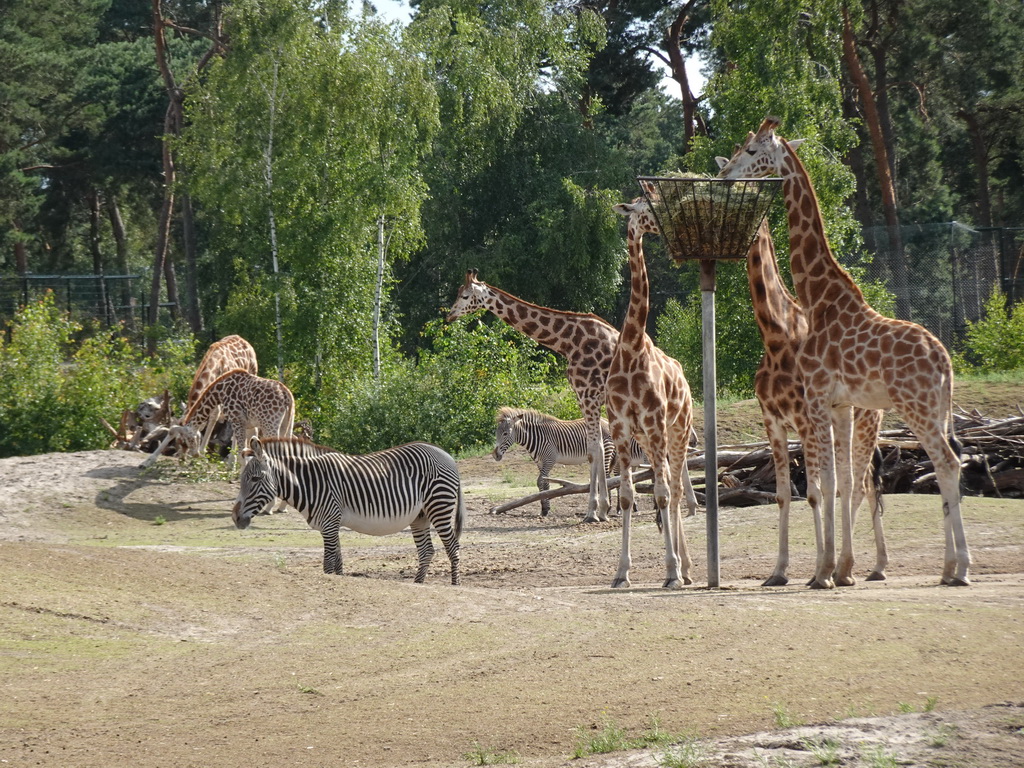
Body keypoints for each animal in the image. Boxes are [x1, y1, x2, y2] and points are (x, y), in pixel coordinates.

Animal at [231, 436, 464, 585]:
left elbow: (328, 565)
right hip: (420, 516)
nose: (235, 518)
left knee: (453, 547)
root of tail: (447, 455)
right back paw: (417, 584)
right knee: (426, 551)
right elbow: (338, 563)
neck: (311, 483)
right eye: (243, 479)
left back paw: (455, 585)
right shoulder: (332, 525)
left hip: (440, 506)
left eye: (255, 479)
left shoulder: (329, 523)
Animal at [491, 405, 643, 520]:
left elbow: (541, 481)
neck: (536, 437)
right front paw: (544, 508)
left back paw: (609, 507)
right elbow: (543, 483)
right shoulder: (540, 462)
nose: (495, 455)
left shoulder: (549, 459)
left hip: (606, 451)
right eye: (497, 433)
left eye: (505, 434)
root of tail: (606, 421)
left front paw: (545, 509)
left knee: (606, 477)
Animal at [716, 117, 970, 589]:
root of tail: (945, 361)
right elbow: (840, 483)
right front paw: (839, 567)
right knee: (935, 467)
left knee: (945, 464)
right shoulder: (838, 404)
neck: (817, 297)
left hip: (916, 407)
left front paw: (823, 572)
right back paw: (945, 569)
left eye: (751, 149)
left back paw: (959, 568)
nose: (724, 174)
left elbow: (826, 486)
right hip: (931, 410)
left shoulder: (816, 398)